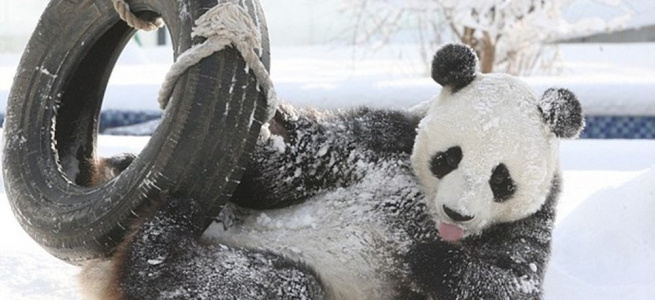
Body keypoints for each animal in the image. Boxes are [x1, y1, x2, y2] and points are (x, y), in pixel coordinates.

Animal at [79, 44, 588, 300]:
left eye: (501, 180)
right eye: (449, 157)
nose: (456, 214)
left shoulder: (528, 224)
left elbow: (509, 284)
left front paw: (425, 257)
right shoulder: (382, 140)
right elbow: (295, 164)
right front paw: (272, 129)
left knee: (265, 284)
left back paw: (161, 241)